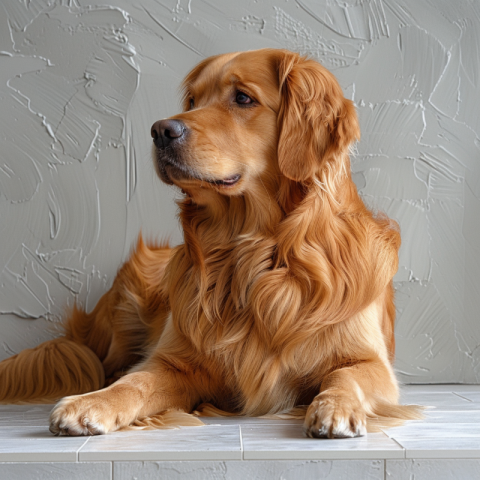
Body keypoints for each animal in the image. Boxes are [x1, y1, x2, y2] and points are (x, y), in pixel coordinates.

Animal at [0, 49, 420, 438]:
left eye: (243, 98)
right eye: (192, 101)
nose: (160, 130)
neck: (254, 253)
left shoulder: (372, 363)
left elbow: (344, 376)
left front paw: (335, 407)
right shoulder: (176, 362)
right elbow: (136, 381)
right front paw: (92, 403)